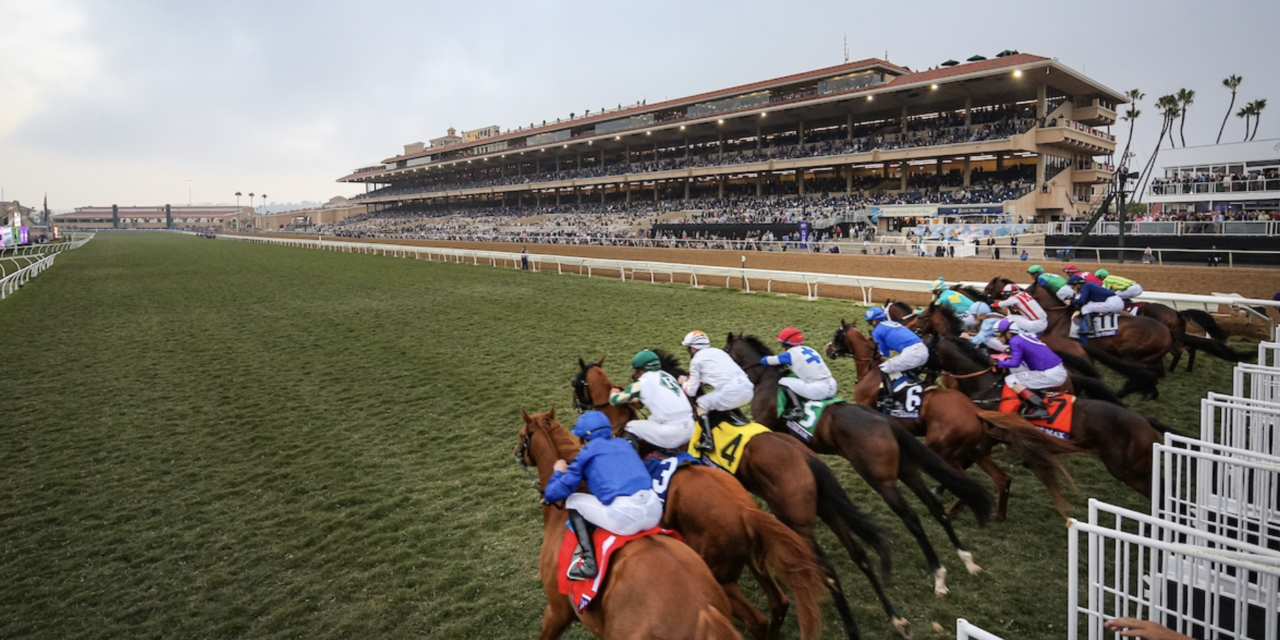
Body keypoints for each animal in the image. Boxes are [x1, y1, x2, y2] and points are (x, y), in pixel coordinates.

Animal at [570, 358, 911, 640]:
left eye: (577, 382)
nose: (575, 404)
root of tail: (806, 457)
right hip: (826, 510)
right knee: (859, 554)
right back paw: (896, 618)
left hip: (796, 521)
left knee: (826, 573)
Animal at [727, 332, 993, 596]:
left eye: (726, 350)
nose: (830, 349)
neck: (767, 381)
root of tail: (886, 423)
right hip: (908, 469)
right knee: (936, 506)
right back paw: (966, 559)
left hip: (882, 478)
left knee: (912, 518)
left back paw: (938, 575)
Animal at [824, 322, 1075, 522]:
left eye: (837, 335)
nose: (828, 349)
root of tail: (975, 411)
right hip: (975, 450)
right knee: (1001, 479)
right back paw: (996, 514)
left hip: (942, 449)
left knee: (968, 480)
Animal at [921, 337, 1172, 496]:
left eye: (926, 351)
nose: (922, 377)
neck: (987, 386)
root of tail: (1144, 421)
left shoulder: (989, 435)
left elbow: (965, 461)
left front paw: (942, 487)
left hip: (1128, 469)